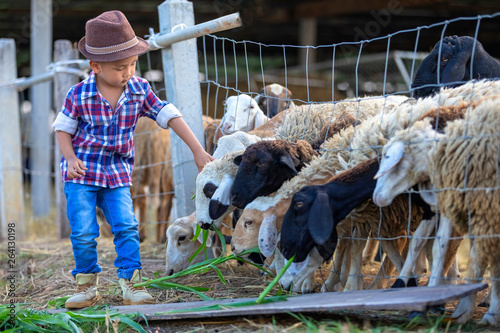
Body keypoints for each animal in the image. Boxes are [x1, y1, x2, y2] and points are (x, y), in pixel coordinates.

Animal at [233, 81, 500, 292]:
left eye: (249, 222)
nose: (234, 247)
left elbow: (362, 244)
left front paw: (348, 284)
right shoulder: (376, 212)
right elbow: (378, 244)